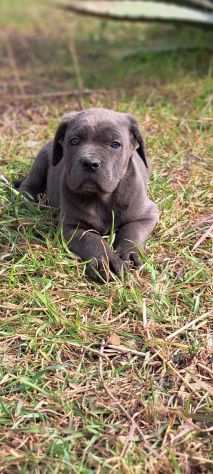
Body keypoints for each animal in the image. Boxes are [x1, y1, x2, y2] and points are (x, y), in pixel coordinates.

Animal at [16, 109, 159, 280]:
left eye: (115, 144)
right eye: (74, 141)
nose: (90, 163)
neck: (102, 198)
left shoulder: (147, 214)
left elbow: (132, 231)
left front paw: (129, 253)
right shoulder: (71, 227)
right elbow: (92, 240)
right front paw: (106, 260)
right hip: (41, 160)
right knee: (30, 182)